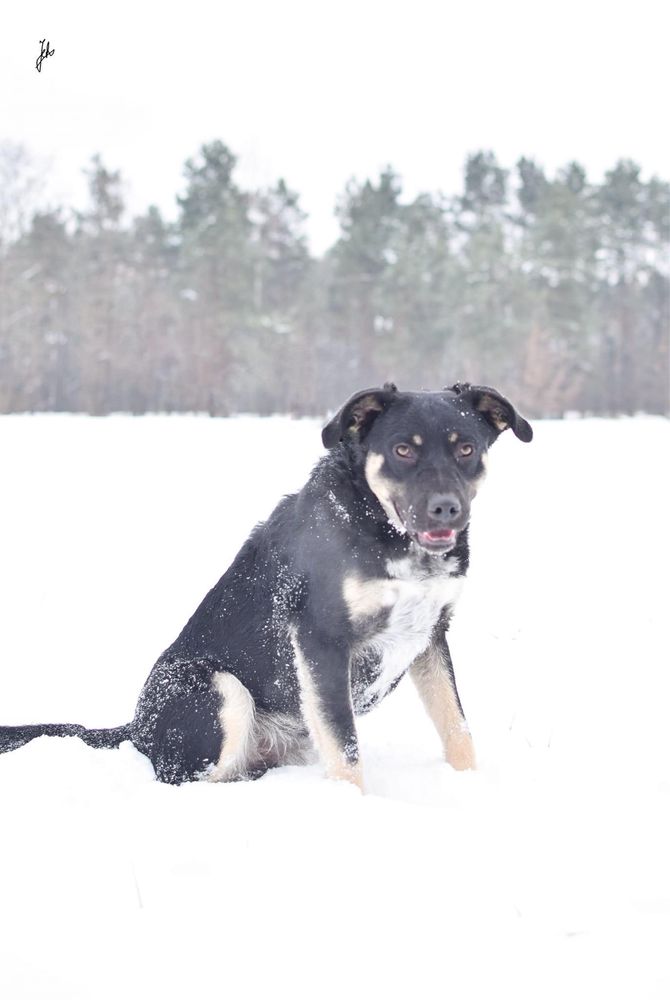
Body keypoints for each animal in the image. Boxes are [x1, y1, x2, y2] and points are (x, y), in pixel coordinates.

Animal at [1, 382, 536, 788]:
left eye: (466, 448)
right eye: (403, 449)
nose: (446, 509)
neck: (381, 529)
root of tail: (136, 728)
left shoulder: (431, 635)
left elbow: (457, 727)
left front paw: (471, 785)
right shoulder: (322, 640)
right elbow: (346, 749)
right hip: (219, 689)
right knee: (188, 777)